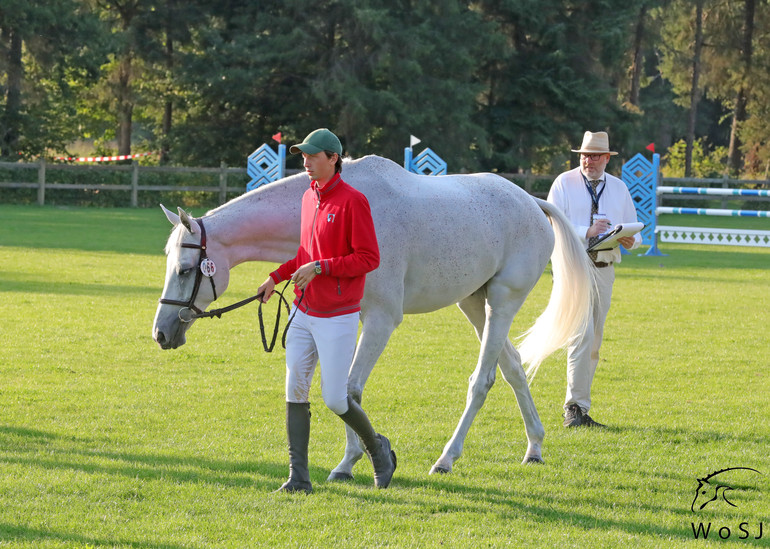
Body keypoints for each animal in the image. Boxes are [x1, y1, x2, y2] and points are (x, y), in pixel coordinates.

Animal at [152, 154, 592, 476]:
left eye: (186, 269)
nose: (161, 332)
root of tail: (531, 202)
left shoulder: (382, 320)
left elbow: (350, 390)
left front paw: (352, 461)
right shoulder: (347, 321)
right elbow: (339, 389)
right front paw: (352, 460)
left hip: (500, 302)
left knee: (482, 381)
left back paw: (446, 459)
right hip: (472, 303)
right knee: (514, 368)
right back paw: (534, 446)